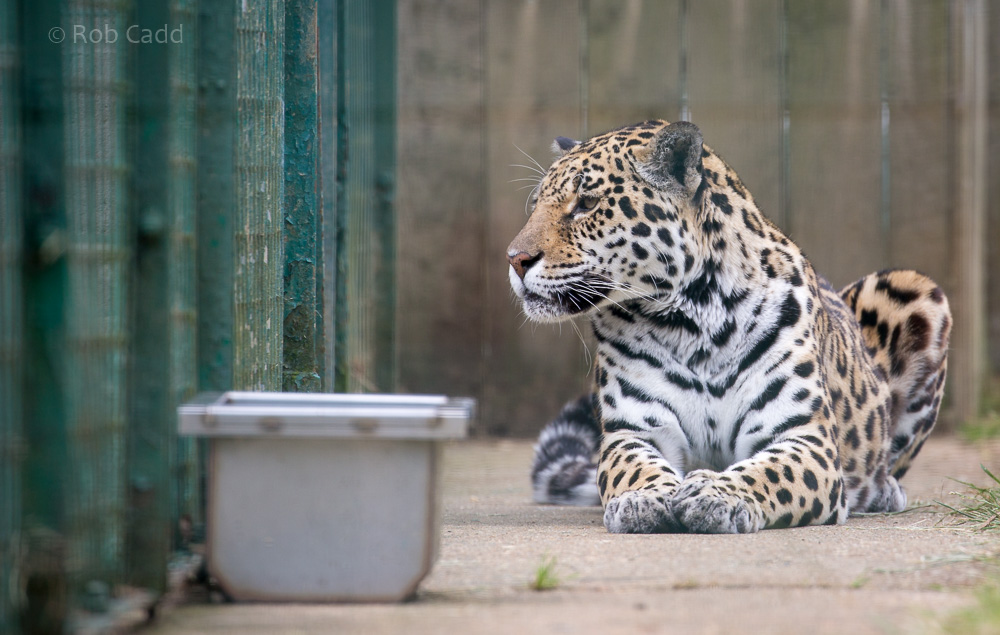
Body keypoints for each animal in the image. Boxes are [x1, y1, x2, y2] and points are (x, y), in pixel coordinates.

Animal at [508, 120, 951, 533]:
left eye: (586, 203)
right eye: (536, 204)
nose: (515, 259)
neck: (692, 320)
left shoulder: (804, 437)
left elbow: (769, 473)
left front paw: (715, 492)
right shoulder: (633, 433)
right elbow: (633, 467)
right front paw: (642, 498)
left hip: (917, 290)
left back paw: (883, 491)